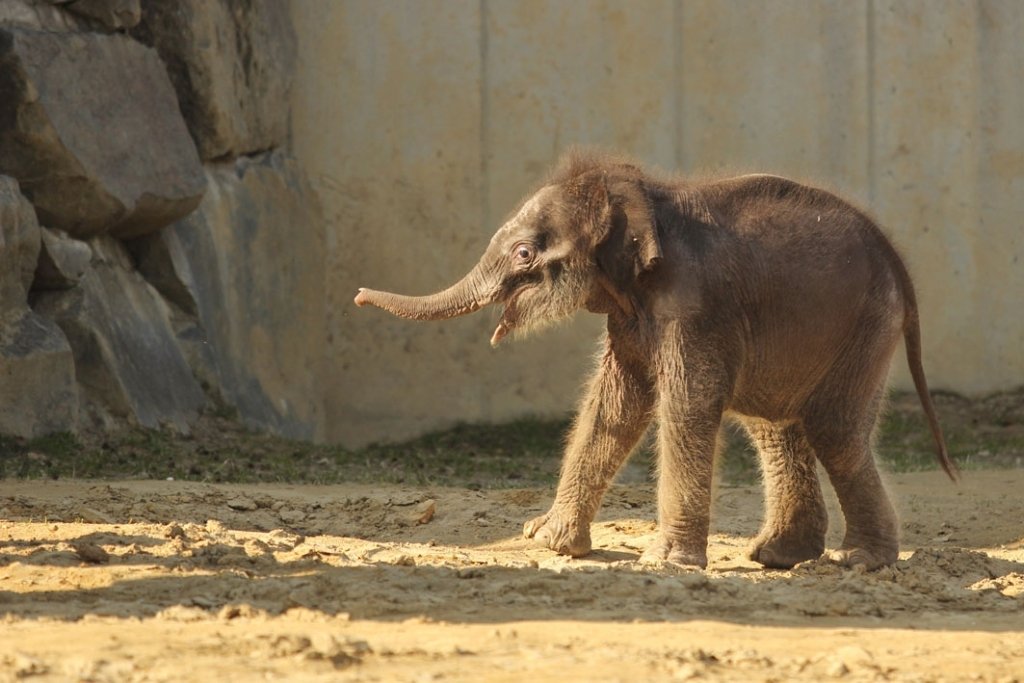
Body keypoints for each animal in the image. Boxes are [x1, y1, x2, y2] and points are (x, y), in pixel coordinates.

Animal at [356, 150, 954, 573]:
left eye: (525, 253)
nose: (358, 297)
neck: (640, 194)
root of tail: (898, 262)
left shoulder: (692, 306)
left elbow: (686, 404)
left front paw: (664, 564)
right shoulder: (631, 315)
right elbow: (612, 407)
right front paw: (549, 541)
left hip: (866, 326)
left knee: (832, 428)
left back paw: (859, 561)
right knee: (776, 425)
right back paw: (779, 556)